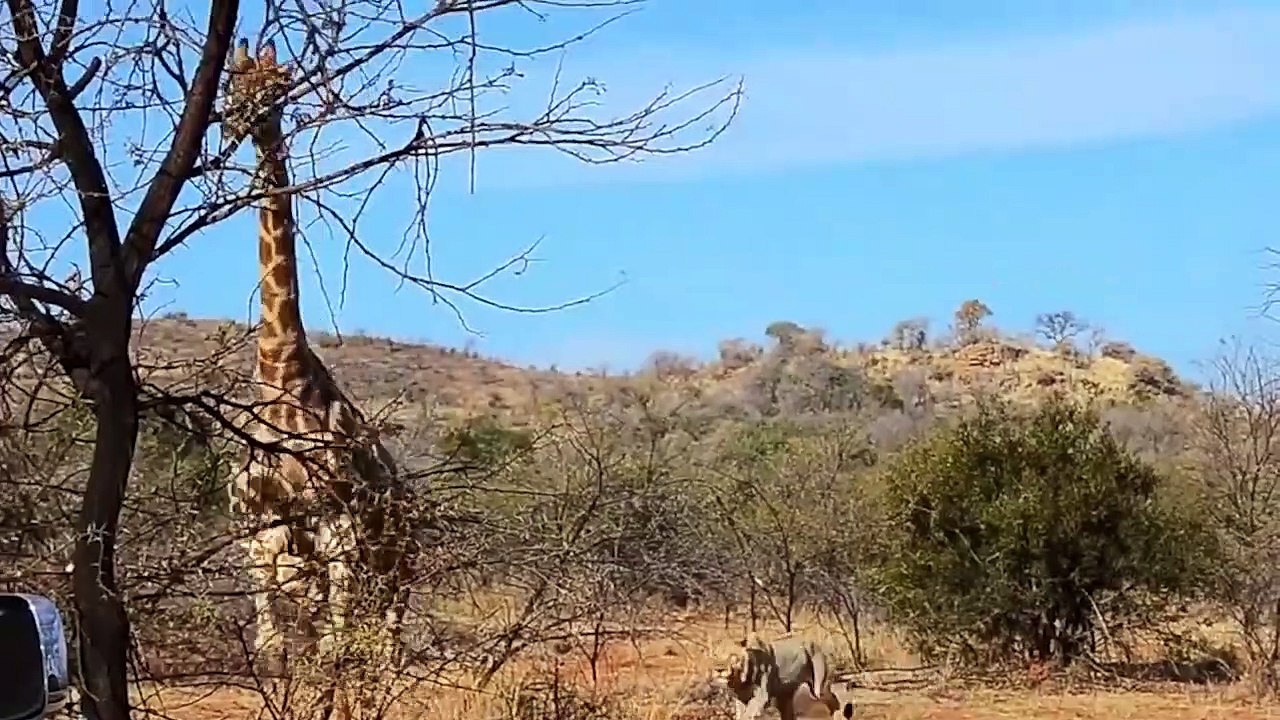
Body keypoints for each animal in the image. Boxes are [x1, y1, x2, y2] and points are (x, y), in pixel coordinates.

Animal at [219, 37, 418, 682]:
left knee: (383, 650)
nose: (234, 123)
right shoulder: (263, 535)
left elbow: (329, 651)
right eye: (231, 85)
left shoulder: (339, 532)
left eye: (278, 86)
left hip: (398, 566)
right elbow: (275, 649)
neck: (280, 369)